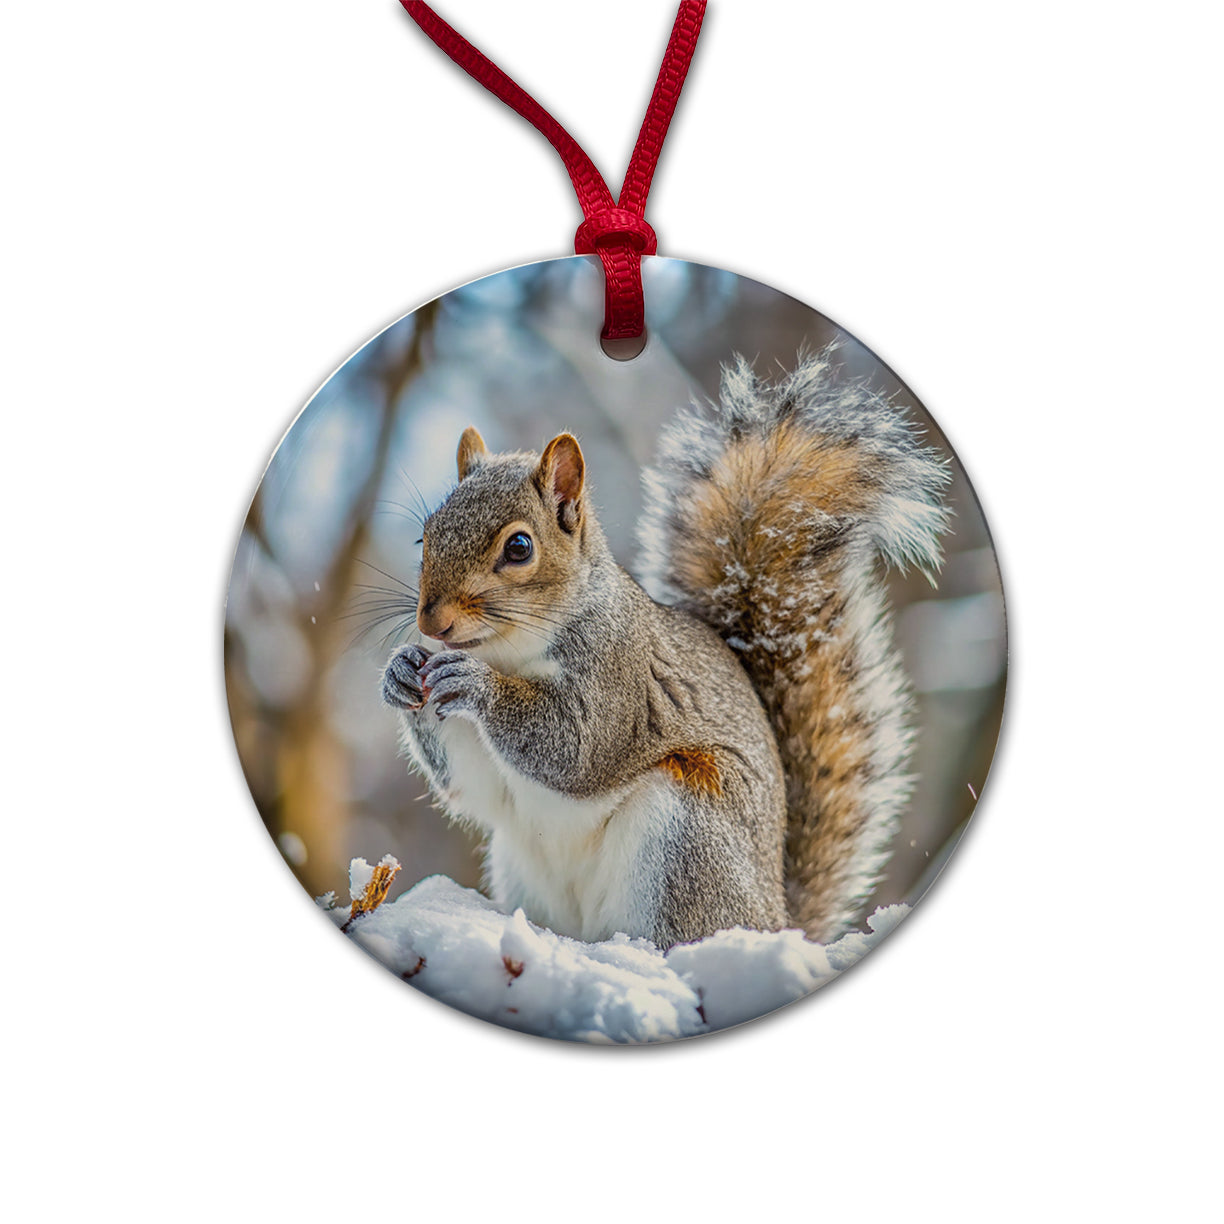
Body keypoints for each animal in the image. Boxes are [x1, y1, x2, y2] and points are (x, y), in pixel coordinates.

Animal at [381, 350, 950, 949]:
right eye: (425, 535)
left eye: (519, 547)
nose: (431, 622)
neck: (507, 651)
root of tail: (777, 921)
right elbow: (473, 786)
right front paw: (401, 671)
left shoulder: (620, 677)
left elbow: (576, 747)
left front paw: (476, 685)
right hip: (522, 864)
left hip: (688, 834)